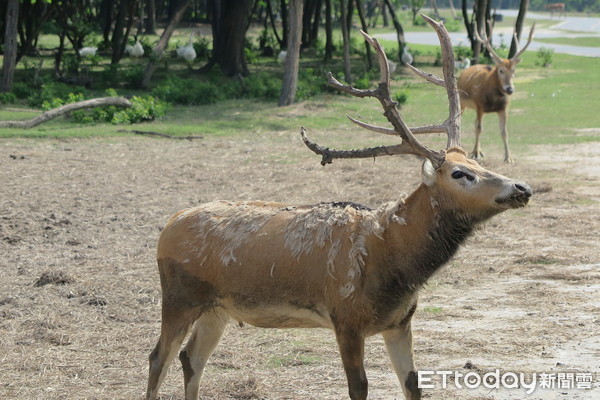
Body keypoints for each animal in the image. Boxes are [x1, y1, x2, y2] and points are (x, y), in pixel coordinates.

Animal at [458, 21, 536, 162]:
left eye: (514, 70)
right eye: (501, 70)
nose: (510, 89)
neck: (493, 98)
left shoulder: (503, 109)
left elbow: (504, 132)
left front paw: (508, 157)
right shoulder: (479, 105)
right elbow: (479, 128)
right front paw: (476, 154)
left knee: (474, 122)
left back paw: (480, 150)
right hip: (461, 102)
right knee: (461, 122)